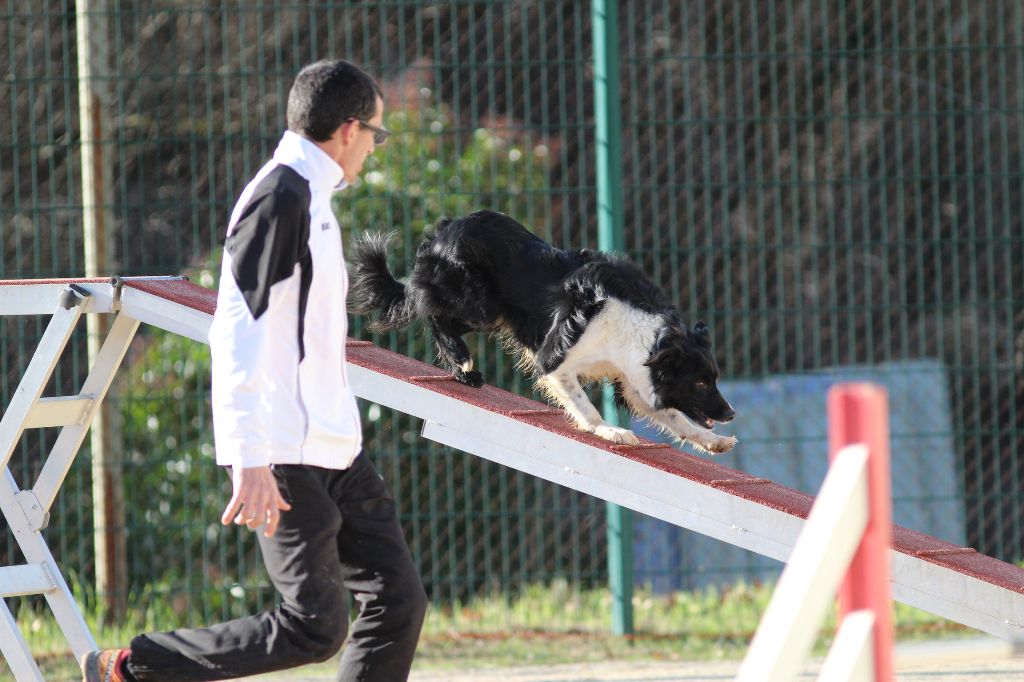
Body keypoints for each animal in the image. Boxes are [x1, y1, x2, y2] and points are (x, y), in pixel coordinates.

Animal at [350, 208, 737, 450]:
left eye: (714, 379)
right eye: (701, 383)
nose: (731, 414)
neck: (645, 336)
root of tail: (445, 228)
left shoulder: (633, 380)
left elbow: (674, 416)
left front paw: (714, 442)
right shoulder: (555, 361)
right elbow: (585, 405)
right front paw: (609, 431)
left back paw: (464, 374)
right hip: (478, 303)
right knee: (434, 315)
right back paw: (462, 362)